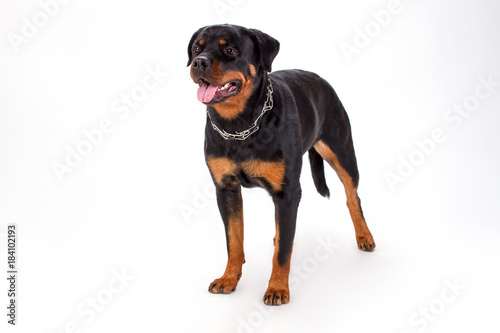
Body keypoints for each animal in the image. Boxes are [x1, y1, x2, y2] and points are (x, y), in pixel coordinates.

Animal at [188, 23, 376, 304]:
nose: (199, 62)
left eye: (230, 50)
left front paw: (277, 288)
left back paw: (364, 236)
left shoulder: (288, 192)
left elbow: (283, 253)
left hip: (341, 151)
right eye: (196, 48)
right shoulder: (225, 188)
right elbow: (234, 238)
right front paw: (229, 278)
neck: (240, 125)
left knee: (352, 196)